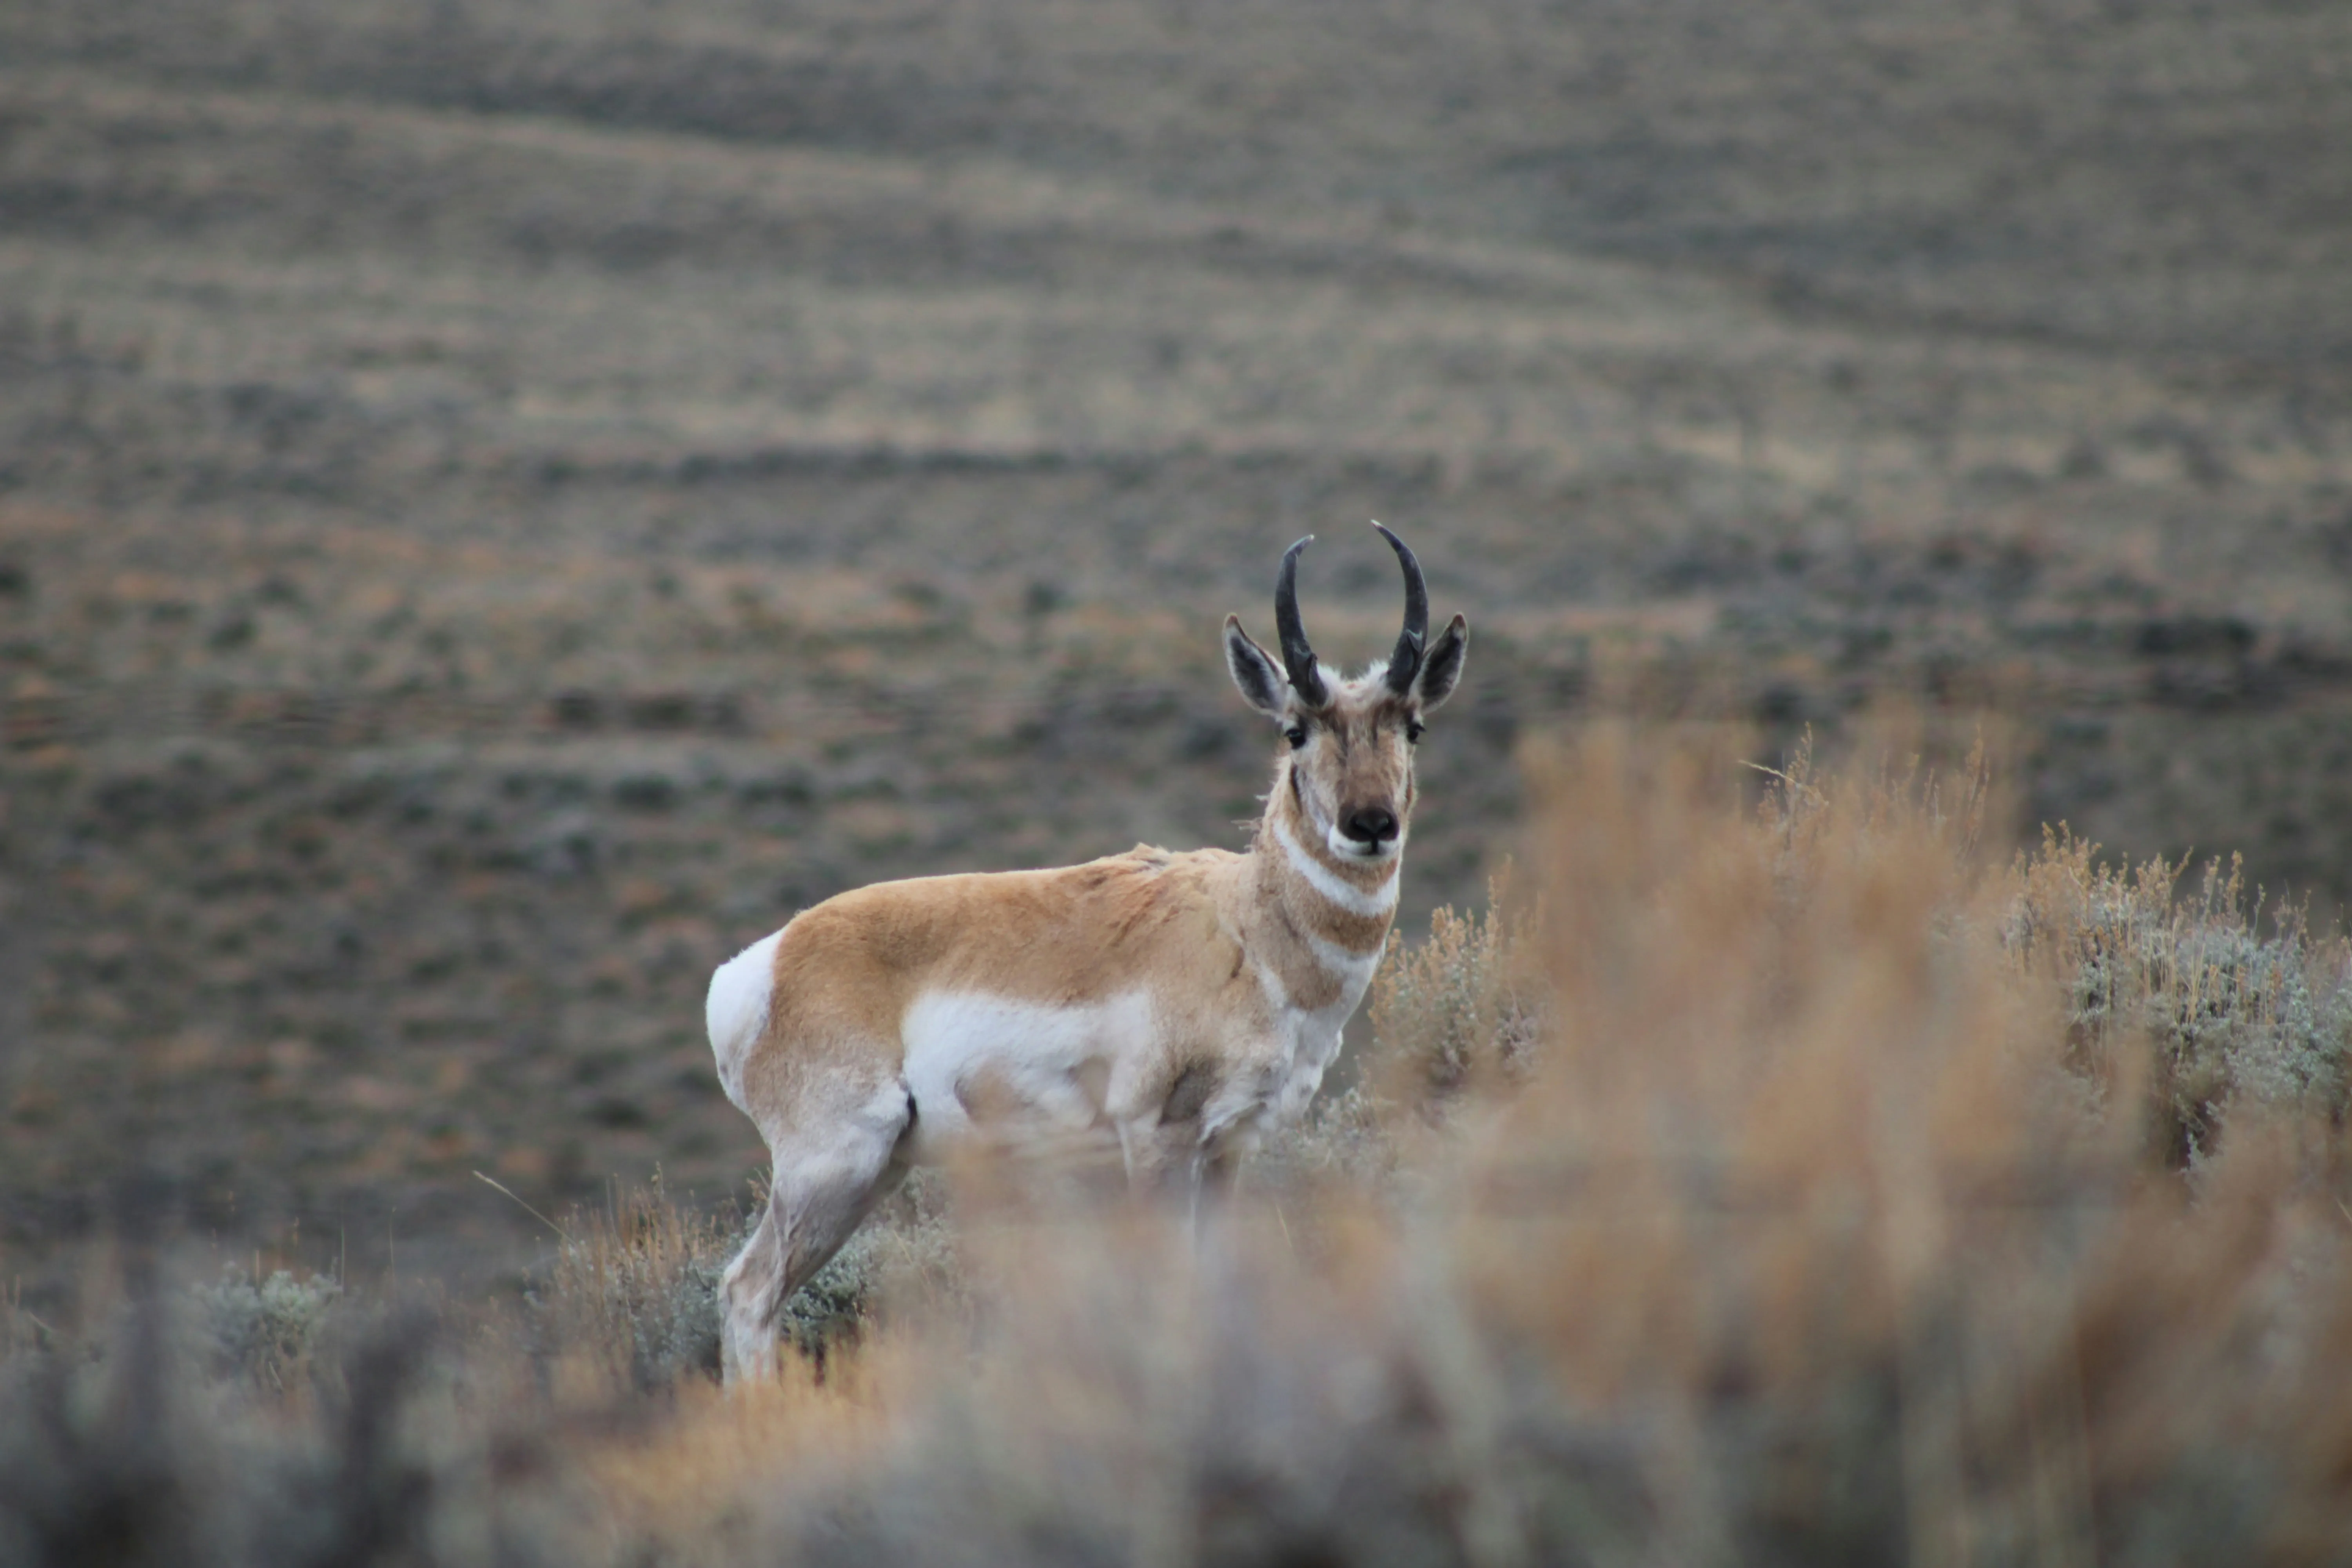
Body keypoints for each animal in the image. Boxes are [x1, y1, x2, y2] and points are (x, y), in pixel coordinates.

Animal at [704, 523, 1468, 1380]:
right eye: (1294, 729)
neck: (1244, 925)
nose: (1371, 825)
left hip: (875, 1171)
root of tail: (762, 964)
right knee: (749, 1290)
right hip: (834, 1169)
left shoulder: (1229, 1148)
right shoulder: (1158, 1141)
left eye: (1413, 726)